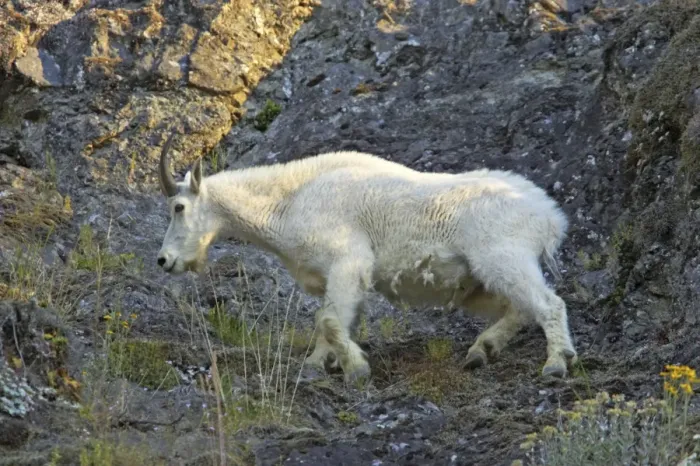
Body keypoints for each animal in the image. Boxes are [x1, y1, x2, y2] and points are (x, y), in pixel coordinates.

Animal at [156, 132, 577, 382]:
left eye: (178, 207)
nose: (164, 261)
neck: (290, 201)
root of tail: (549, 216)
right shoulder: (338, 278)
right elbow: (332, 319)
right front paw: (317, 365)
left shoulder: (348, 261)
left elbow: (327, 318)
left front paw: (356, 369)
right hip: (479, 282)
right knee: (518, 309)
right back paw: (480, 351)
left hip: (505, 257)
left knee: (548, 304)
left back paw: (556, 363)